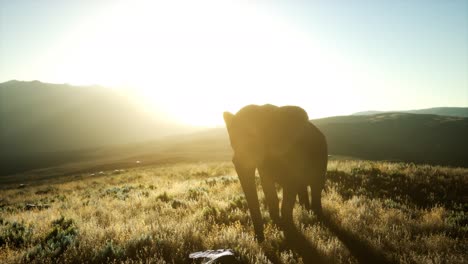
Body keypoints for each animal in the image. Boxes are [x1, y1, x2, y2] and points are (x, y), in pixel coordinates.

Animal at [224, 103, 328, 241]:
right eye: (232, 143)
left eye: (255, 137)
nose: (258, 240)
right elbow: (269, 190)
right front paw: (278, 227)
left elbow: (290, 188)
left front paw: (290, 232)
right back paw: (305, 211)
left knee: (316, 188)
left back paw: (317, 216)